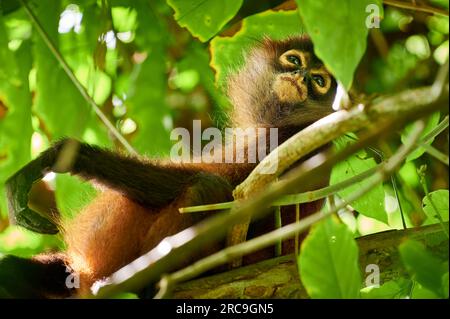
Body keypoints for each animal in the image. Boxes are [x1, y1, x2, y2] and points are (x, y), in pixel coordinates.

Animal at [3, 34, 336, 298]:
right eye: (294, 60)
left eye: (319, 82)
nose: (303, 77)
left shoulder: (290, 135)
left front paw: (66, 156)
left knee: (207, 188)